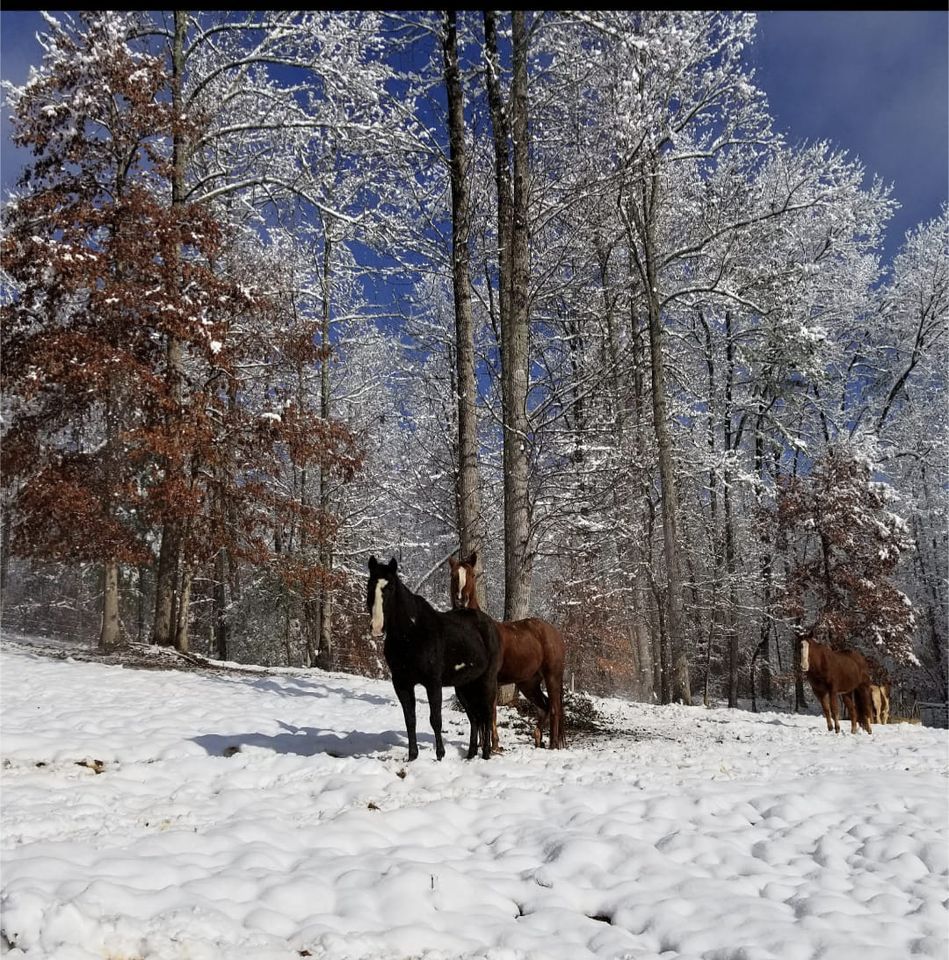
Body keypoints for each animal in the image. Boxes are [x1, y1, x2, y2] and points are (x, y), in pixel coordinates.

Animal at [367, 555, 500, 761]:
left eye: (390, 588)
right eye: (370, 585)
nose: (377, 627)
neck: (412, 634)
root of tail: (490, 623)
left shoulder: (433, 683)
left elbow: (435, 719)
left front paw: (440, 755)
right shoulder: (402, 683)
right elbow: (410, 719)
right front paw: (412, 755)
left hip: (486, 681)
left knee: (486, 714)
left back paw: (485, 753)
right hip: (464, 686)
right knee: (474, 718)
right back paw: (470, 754)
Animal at [448, 552, 566, 750]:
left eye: (472, 575)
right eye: (453, 575)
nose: (461, 600)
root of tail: (554, 632)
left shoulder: (491, 681)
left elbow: (491, 712)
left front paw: (493, 746)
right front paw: (485, 745)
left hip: (552, 676)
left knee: (555, 707)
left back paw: (554, 745)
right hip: (528, 683)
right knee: (544, 706)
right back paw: (538, 739)